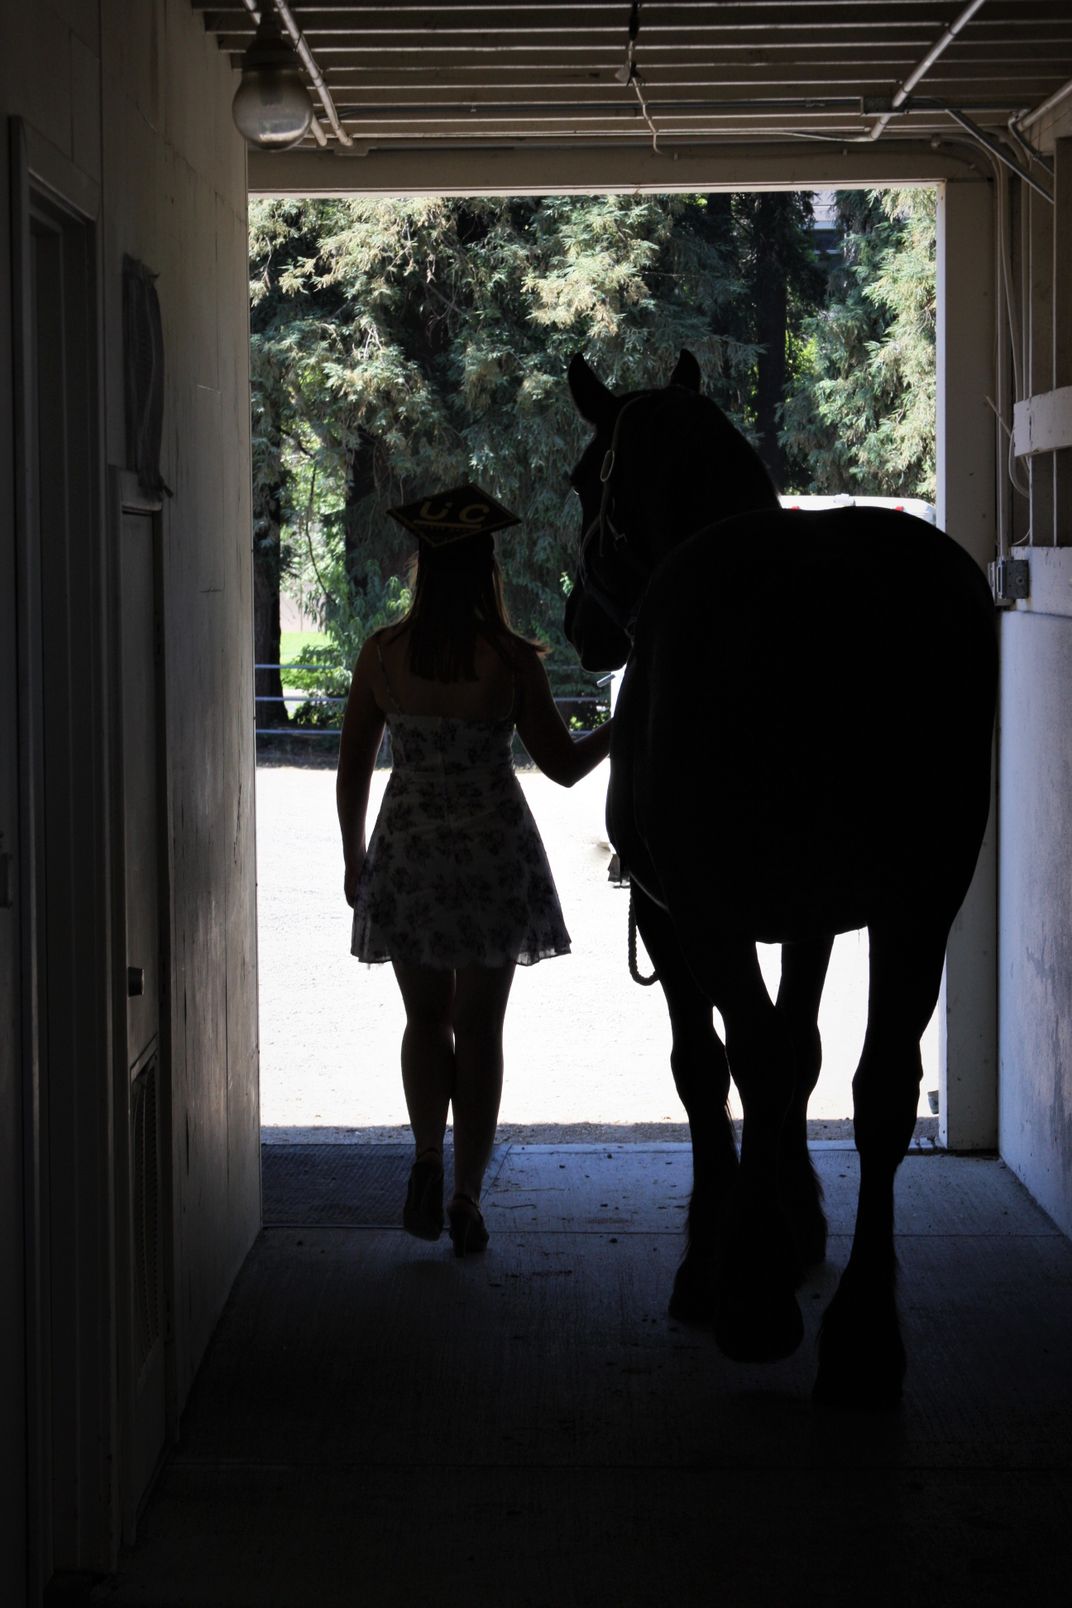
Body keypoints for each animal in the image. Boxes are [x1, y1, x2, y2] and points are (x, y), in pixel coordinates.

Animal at [564, 349, 996, 1407]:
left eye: (585, 479)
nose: (580, 627)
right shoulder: (816, 917)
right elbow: (800, 1055)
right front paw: (795, 1223)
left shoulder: (675, 915)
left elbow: (712, 1067)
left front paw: (719, 1252)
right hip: (920, 905)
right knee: (883, 1092)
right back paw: (864, 1336)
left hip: (725, 916)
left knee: (753, 1061)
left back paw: (754, 1303)